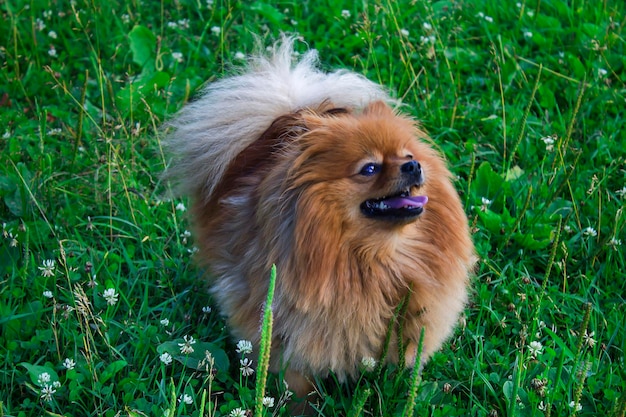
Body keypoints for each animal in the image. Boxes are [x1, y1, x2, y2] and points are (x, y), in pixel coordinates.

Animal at [163, 37, 476, 398]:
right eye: (370, 168)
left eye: (407, 155)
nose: (414, 166)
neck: (378, 257)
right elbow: (296, 378)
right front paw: (297, 403)